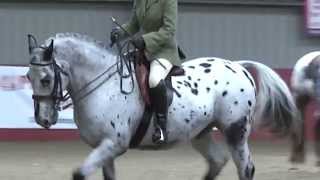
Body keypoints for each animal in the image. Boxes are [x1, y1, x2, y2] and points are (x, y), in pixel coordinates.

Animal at [26, 33, 300, 179]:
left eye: (46, 79)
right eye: (28, 77)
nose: (43, 120)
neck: (104, 85)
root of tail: (238, 67)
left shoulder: (113, 144)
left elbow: (79, 173)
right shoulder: (104, 148)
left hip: (236, 131)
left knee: (245, 168)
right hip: (200, 133)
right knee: (217, 161)